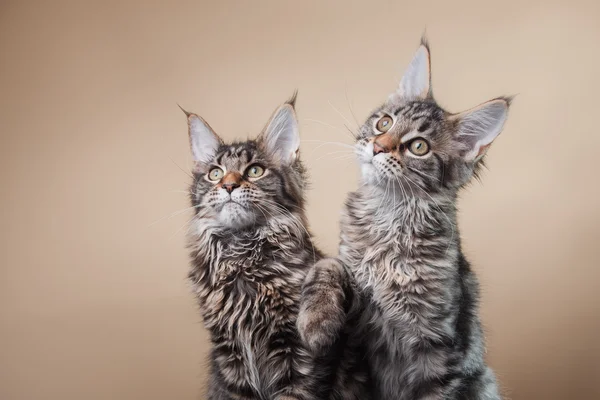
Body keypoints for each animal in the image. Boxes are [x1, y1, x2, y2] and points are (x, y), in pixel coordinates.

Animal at [184, 97, 332, 400]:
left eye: (255, 171)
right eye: (215, 173)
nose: (229, 185)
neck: (242, 257)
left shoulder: (295, 350)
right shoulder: (229, 353)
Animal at [300, 38, 510, 400]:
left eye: (418, 146)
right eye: (384, 123)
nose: (377, 147)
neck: (389, 216)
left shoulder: (437, 344)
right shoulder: (359, 305)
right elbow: (328, 264)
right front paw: (315, 322)